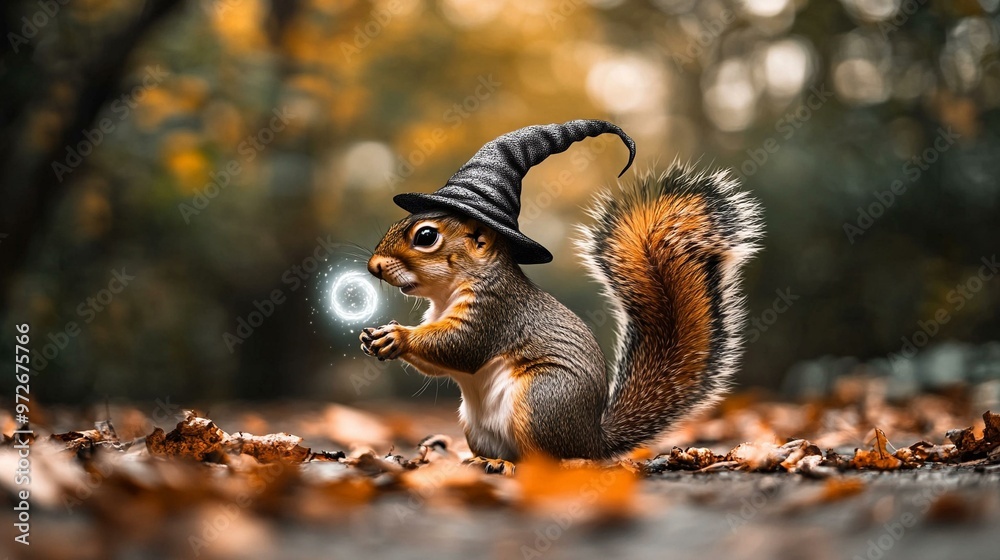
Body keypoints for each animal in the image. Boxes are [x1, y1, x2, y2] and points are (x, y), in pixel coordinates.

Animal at [360, 120, 762, 461]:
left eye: (426, 236)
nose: (373, 266)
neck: (447, 292)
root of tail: (592, 441)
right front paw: (375, 337)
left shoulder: (496, 310)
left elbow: (461, 347)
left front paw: (397, 336)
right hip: (478, 426)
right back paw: (481, 462)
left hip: (542, 400)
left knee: (554, 460)